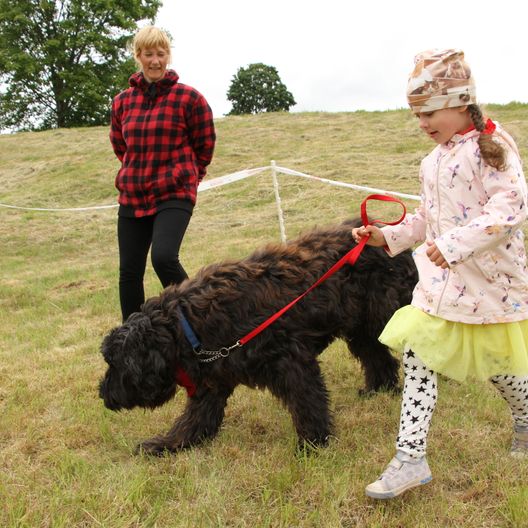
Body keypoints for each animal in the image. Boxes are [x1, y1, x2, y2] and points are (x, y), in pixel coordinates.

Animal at [97, 219, 414, 454]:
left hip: (388, 313)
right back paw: (379, 389)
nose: (103, 394)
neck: (186, 325)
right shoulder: (213, 382)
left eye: (115, 363)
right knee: (378, 357)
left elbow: (307, 402)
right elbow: (195, 420)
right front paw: (167, 444)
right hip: (362, 328)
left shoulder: (291, 360)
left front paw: (312, 444)